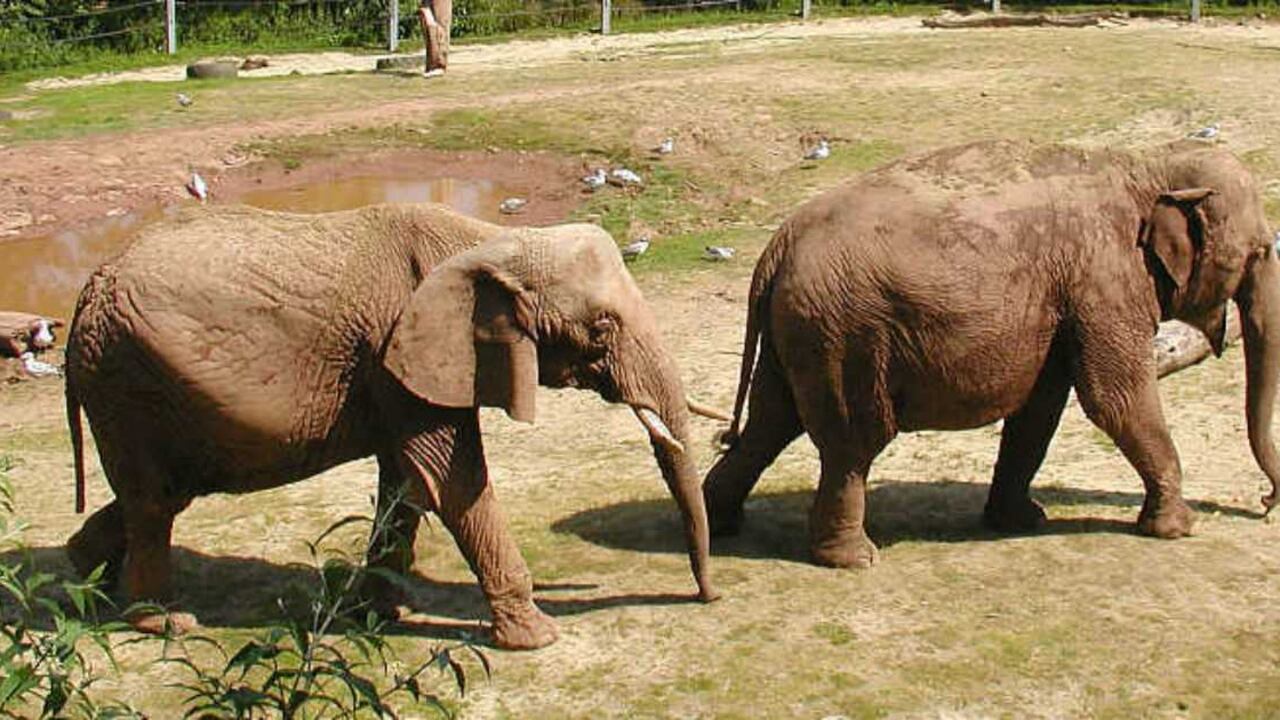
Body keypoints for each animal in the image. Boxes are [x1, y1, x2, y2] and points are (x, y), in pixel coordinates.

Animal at [64, 202, 721, 650]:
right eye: (602, 328)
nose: (708, 597)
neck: (493, 241)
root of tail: (84, 293)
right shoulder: (398, 351)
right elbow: (451, 480)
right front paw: (535, 638)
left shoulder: (402, 369)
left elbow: (406, 484)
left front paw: (379, 615)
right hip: (127, 381)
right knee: (156, 501)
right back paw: (160, 620)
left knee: (159, 496)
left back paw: (86, 576)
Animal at [704, 140, 1278, 569]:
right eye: (1261, 251)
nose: (1266, 504)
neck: (1147, 164)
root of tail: (776, 248)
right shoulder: (1103, 279)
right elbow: (1114, 397)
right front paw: (1179, 530)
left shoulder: (1062, 302)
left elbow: (1040, 410)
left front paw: (1023, 520)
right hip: (845, 334)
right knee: (851, 443)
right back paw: (854, 559)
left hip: (801, 332)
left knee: (770, 423)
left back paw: (719, 525)